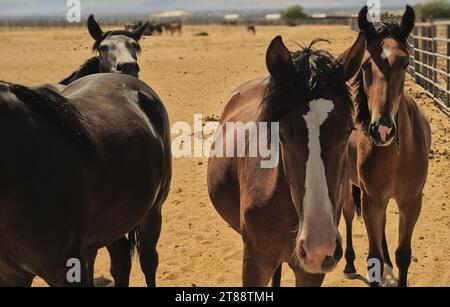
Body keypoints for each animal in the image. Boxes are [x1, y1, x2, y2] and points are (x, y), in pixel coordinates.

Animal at [344, 5, 432, 288]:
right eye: (365, 65)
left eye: (405, 63)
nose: (382, 130)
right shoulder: (371, 200)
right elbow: (373, 257)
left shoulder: (411, 202)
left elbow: (403, 254)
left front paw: (393, 266)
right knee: (347, 215)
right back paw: (349, 263)